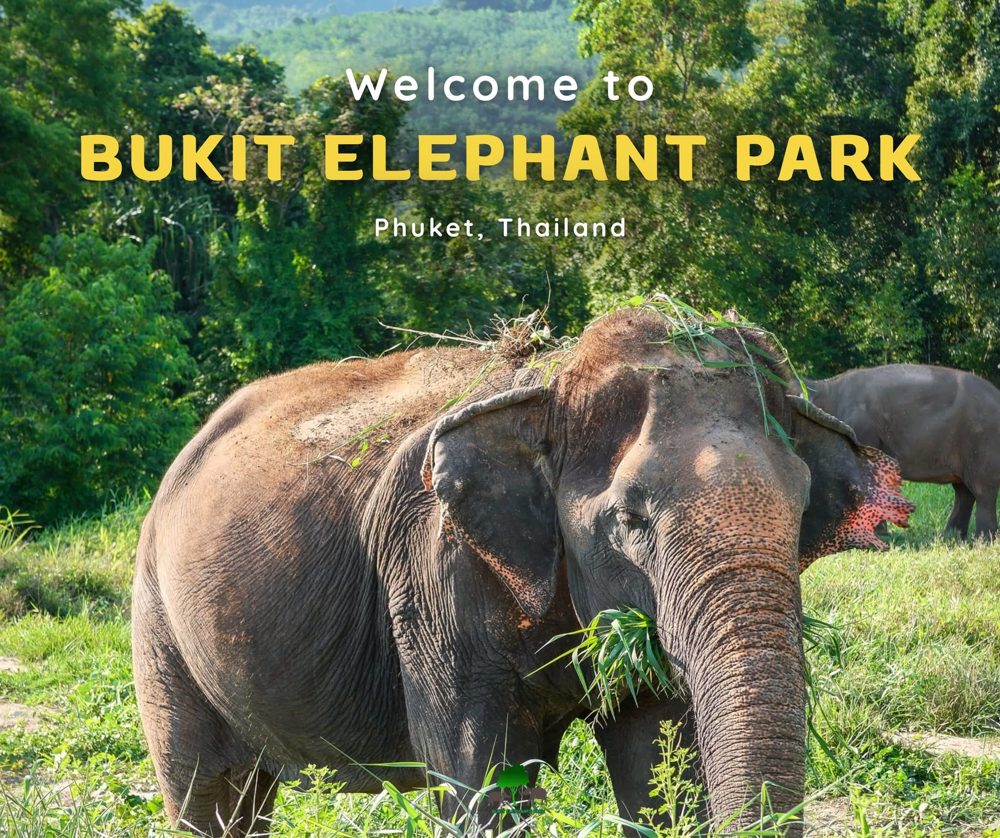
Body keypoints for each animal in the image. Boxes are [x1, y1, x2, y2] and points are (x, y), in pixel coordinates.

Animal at [131, 307, 914, 836]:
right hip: (157, 621)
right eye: (630, 520)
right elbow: (484, 779)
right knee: (208, 793)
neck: (549, 387)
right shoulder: (433, 578)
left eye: (800, 509)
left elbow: (657, 762)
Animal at [807, 363, 1000, 541]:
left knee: (983, 491)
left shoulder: (861, 432)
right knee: (963, 491)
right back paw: (952, 536)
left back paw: (984, 539)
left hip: (982, 440)